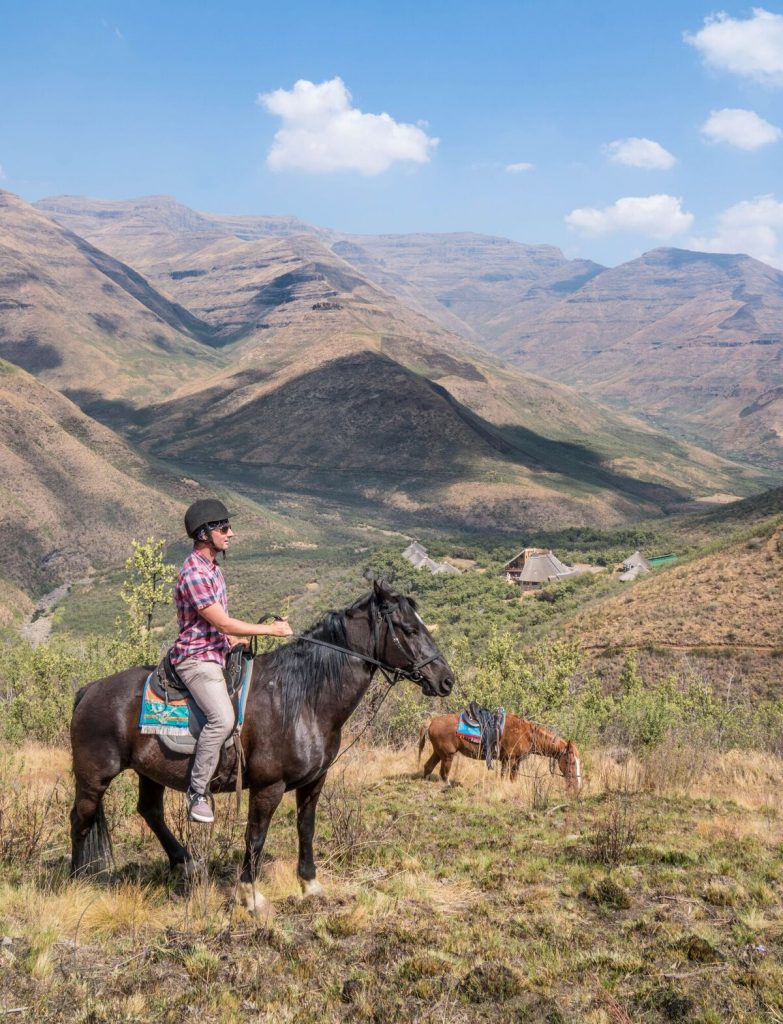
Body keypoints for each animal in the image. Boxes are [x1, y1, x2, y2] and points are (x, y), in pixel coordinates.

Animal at [72, 581, 454, 917]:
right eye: (409, 629)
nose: (446, 680)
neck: (303, 699)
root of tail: (89, 689)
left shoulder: (314, 782)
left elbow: (305, 828)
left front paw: (310, 885)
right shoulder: (268, 787)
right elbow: (255, 837)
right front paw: (250, 897)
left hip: (149, 771)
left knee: (150, 811)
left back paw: (186, 863)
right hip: (94, 776)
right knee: (81, 818)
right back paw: (78, 881)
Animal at [421, 712, 581, 790]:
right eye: (572, 761)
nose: (577, 785)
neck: (527, 733)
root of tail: (432, 721)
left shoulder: (510, 760)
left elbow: (509, 776)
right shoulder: (511, 759)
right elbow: (508, 777)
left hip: (438, 753)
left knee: (428, 766)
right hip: (447, 755)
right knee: (443, 773)